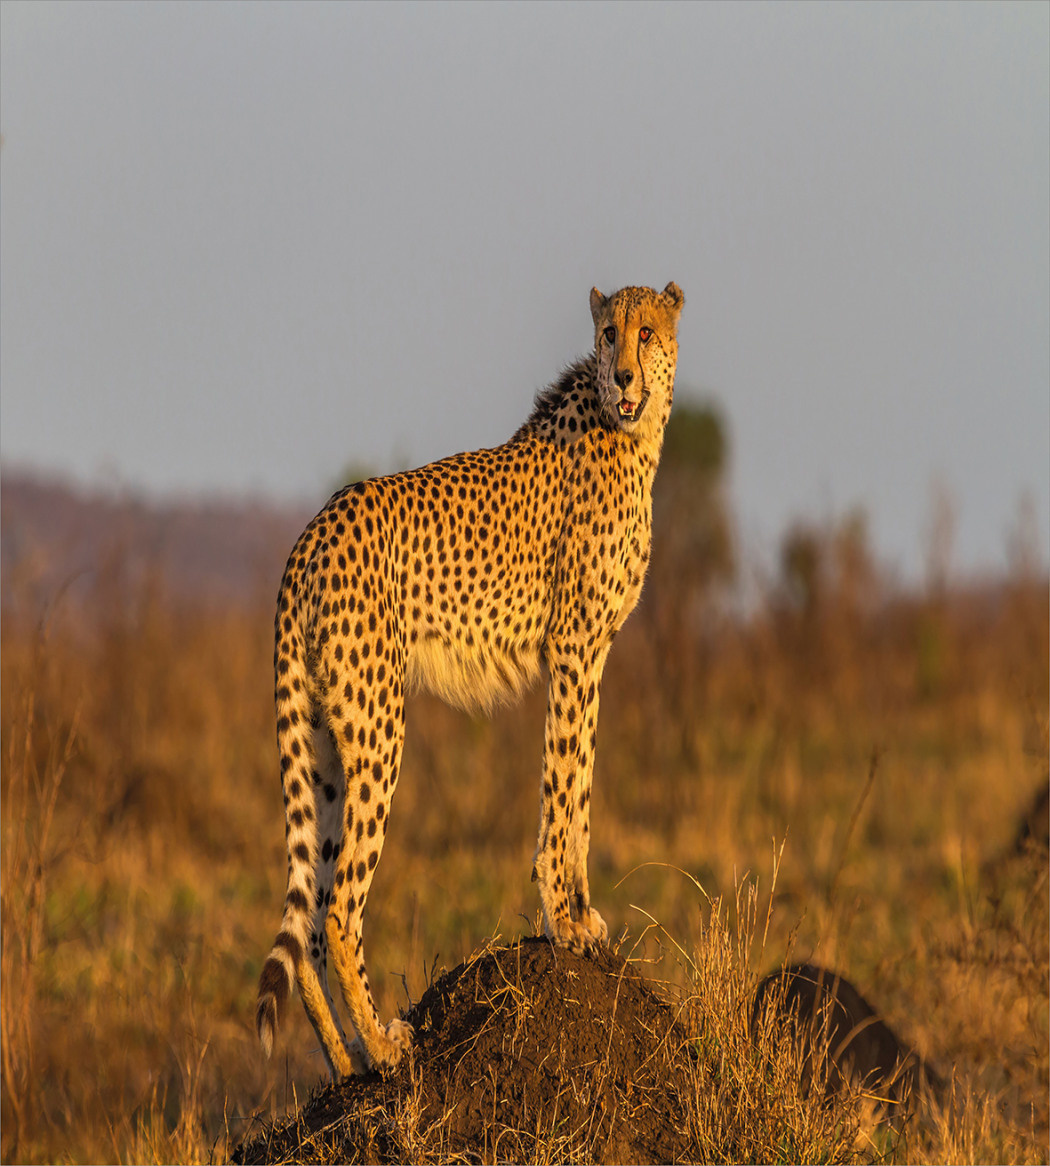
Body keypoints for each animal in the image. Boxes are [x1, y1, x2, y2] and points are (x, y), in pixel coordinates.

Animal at [257, 279, 685, 1072]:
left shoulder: (594, 655)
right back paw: (385, 1044)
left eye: (646, 331)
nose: (623, 377)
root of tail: (313, 531)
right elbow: (563, 782)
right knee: (340, 907)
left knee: (309, 916)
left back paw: (345, 1059)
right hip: (378, 729)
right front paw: (566, 920)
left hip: (323, 743)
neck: (633, 435)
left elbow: (582, 787)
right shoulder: (573, 649)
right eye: (608, 334)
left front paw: (582, 918)